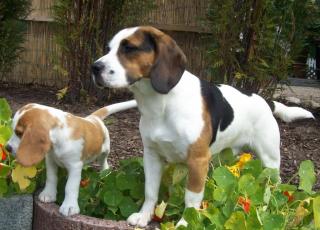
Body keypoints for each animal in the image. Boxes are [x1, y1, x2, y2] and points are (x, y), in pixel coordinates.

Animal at [5, 100, 136, 216]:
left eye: (19, 133)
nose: (7, 148)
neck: (58, 141)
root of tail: (94, 118)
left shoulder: (75, 167)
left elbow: (70, 187)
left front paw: (69, 206)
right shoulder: (50, 161)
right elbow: (51, 178)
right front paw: (48, 194)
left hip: (104, 150)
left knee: (103, 161)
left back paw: (105, 171)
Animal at [90, 25, 316, 226]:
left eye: (129, 48)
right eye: (109, 48)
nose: (95, 67)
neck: (162, 103)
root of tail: (265, 101)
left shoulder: (198, 161)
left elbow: (191, 198)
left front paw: (186, 222)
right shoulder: (152, 155)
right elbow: (150, 191)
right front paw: (145, 216)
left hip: (270, 161)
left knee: (274, 187)